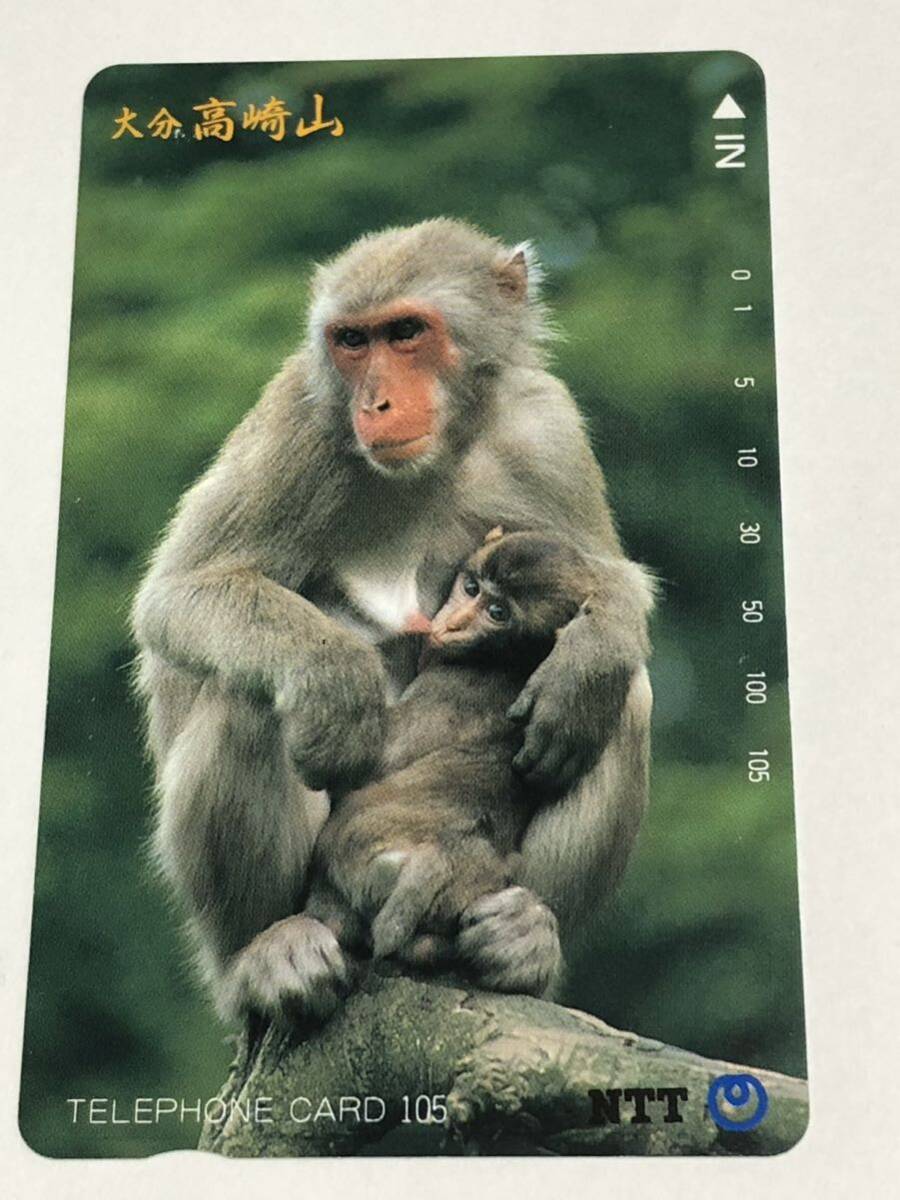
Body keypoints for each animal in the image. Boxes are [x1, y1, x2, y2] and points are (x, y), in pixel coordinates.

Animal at [303, 528, 611, 999]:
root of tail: (442, 855)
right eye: (472, 587)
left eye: (497, 613)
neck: (508, 661)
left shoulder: (451, 687)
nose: (453, 623)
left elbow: (369, 763)